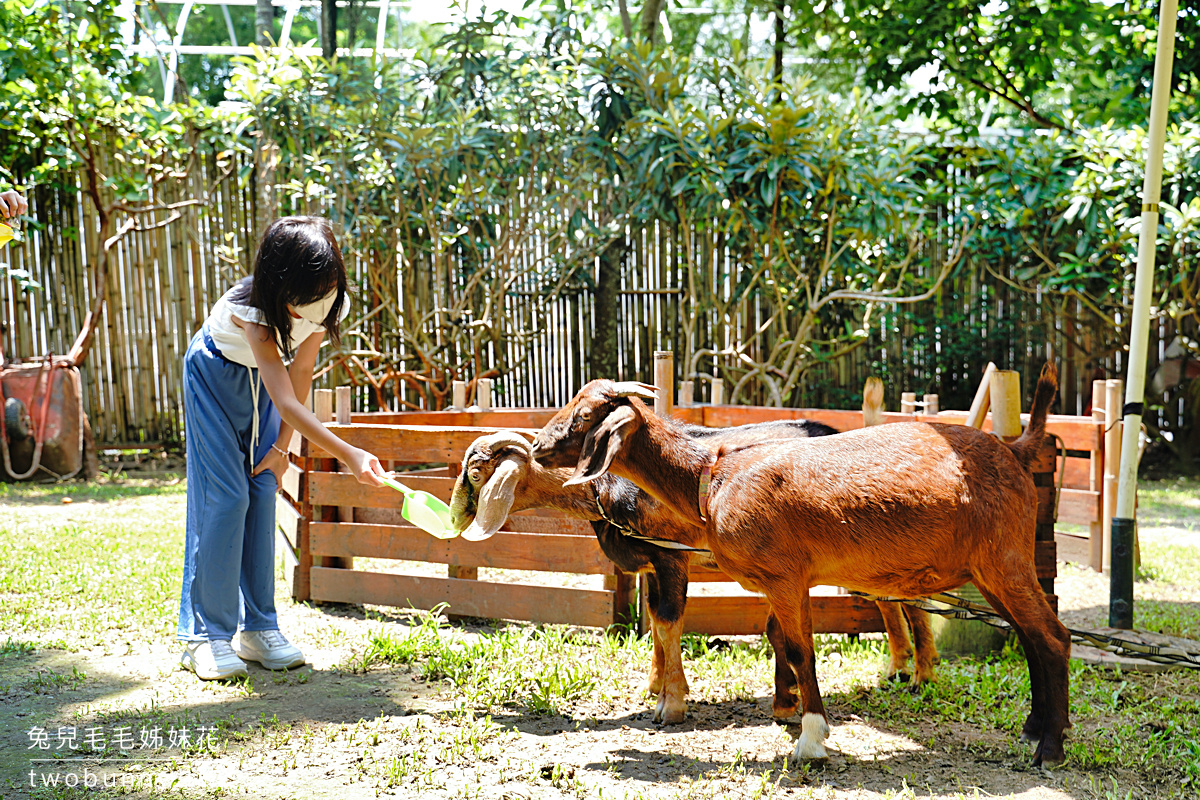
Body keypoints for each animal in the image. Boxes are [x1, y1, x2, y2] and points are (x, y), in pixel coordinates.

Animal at [535, 367, 1070, 767]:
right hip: (990, 568)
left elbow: (800, 652)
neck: (712, 475)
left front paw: (811, 740)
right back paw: (1033, 727)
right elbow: (785, 644)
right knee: (1029, 637)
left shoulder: (783, 578)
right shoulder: (780, 582)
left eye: (583, 415)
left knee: (1052, 636)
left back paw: (1050, 748)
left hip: (1005, 557)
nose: (538, 445)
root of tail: (1015, 450)